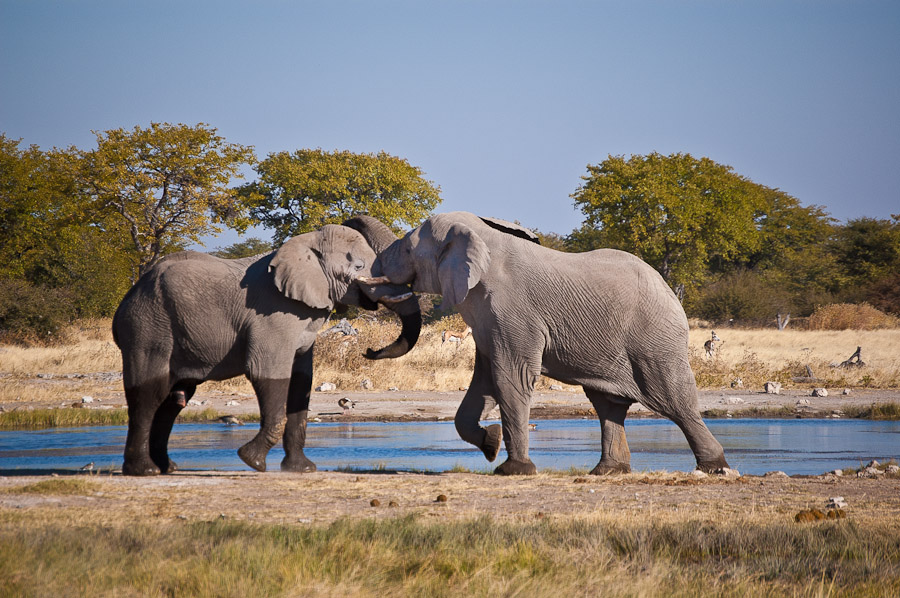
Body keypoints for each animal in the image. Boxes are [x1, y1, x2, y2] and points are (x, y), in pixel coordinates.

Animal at [113, 221, 420, 476]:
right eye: (357, 266)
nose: (369, 350)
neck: (306, 245)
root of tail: (132, 293)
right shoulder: (273, 314)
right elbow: (268, 374)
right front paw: (253, 461)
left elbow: (301, 382)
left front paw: (302, 469)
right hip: (147, 326)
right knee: (148, 394)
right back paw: (144, 471)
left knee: (174, 400)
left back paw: (167, 468)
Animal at [356, 211, 731, 476]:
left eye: (408, 248)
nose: (367, 352)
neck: (481, 238)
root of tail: (669, 290)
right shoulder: (487, 320)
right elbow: (485, 382)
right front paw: (491, 443)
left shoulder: (514, 313)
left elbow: (511, 377)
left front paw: (513, 470)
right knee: (607, 405)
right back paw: (607, 472)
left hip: (654, 339)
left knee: (673, 399)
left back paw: (715, 467)